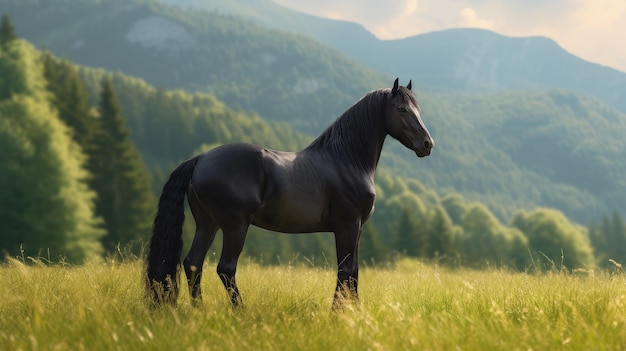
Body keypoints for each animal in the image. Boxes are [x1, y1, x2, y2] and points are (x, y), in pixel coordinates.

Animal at [146, 77, 432, 308]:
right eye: (401, 109)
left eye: (418, 109)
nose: (427, 144)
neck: (346, 159)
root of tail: (201, 158)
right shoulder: (347, 225)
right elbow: (345, 270)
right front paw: (338, 314)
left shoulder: (358, 228)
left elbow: (354, 273)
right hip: (235, 225)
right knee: (225, 268)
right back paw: (241, 313)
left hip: (208, 224)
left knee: (193, 263)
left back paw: (198, 311)